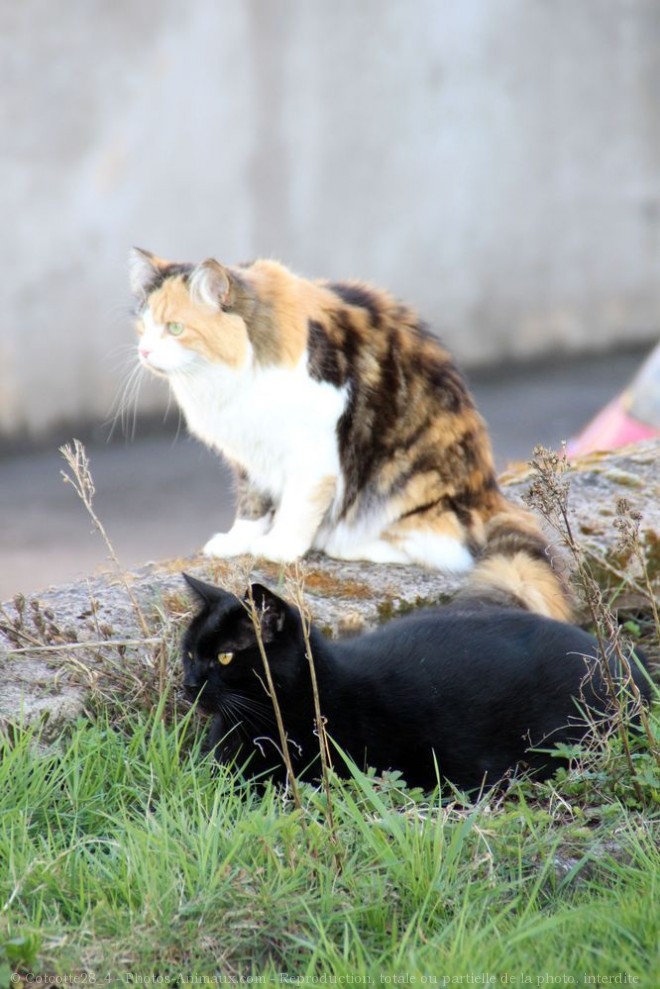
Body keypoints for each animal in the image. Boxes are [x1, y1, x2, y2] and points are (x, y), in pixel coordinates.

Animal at [130, 249, 572, 616]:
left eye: (175, 328)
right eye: (142, 327)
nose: (144, 351)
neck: (228, 377)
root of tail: (490, 493)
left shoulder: (312, 451)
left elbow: (297, 506)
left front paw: (279, 548)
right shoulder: (250, 454)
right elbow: (251, 505)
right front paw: (237, 542)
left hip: (401, 479)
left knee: (445, 550)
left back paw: (344, 543)